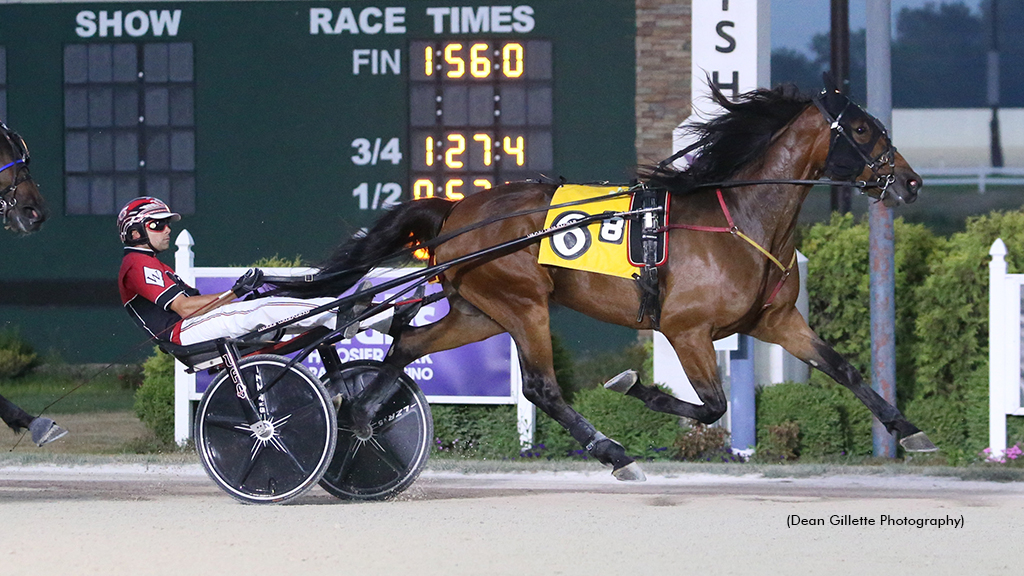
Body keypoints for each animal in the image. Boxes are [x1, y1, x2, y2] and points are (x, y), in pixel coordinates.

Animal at [272, 80, 937, 475]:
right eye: (862, 130)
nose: (909, 182)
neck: (741, 218)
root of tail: (455, 210)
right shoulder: (685, 329)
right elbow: (712, 405)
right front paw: (634, 387)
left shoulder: (775, 321)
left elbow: (844, 368)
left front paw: (909, 431)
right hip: (523, 303)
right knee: (541, 387)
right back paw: (611, 451)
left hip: (478, 309)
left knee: (407, 343)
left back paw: (359, 415)